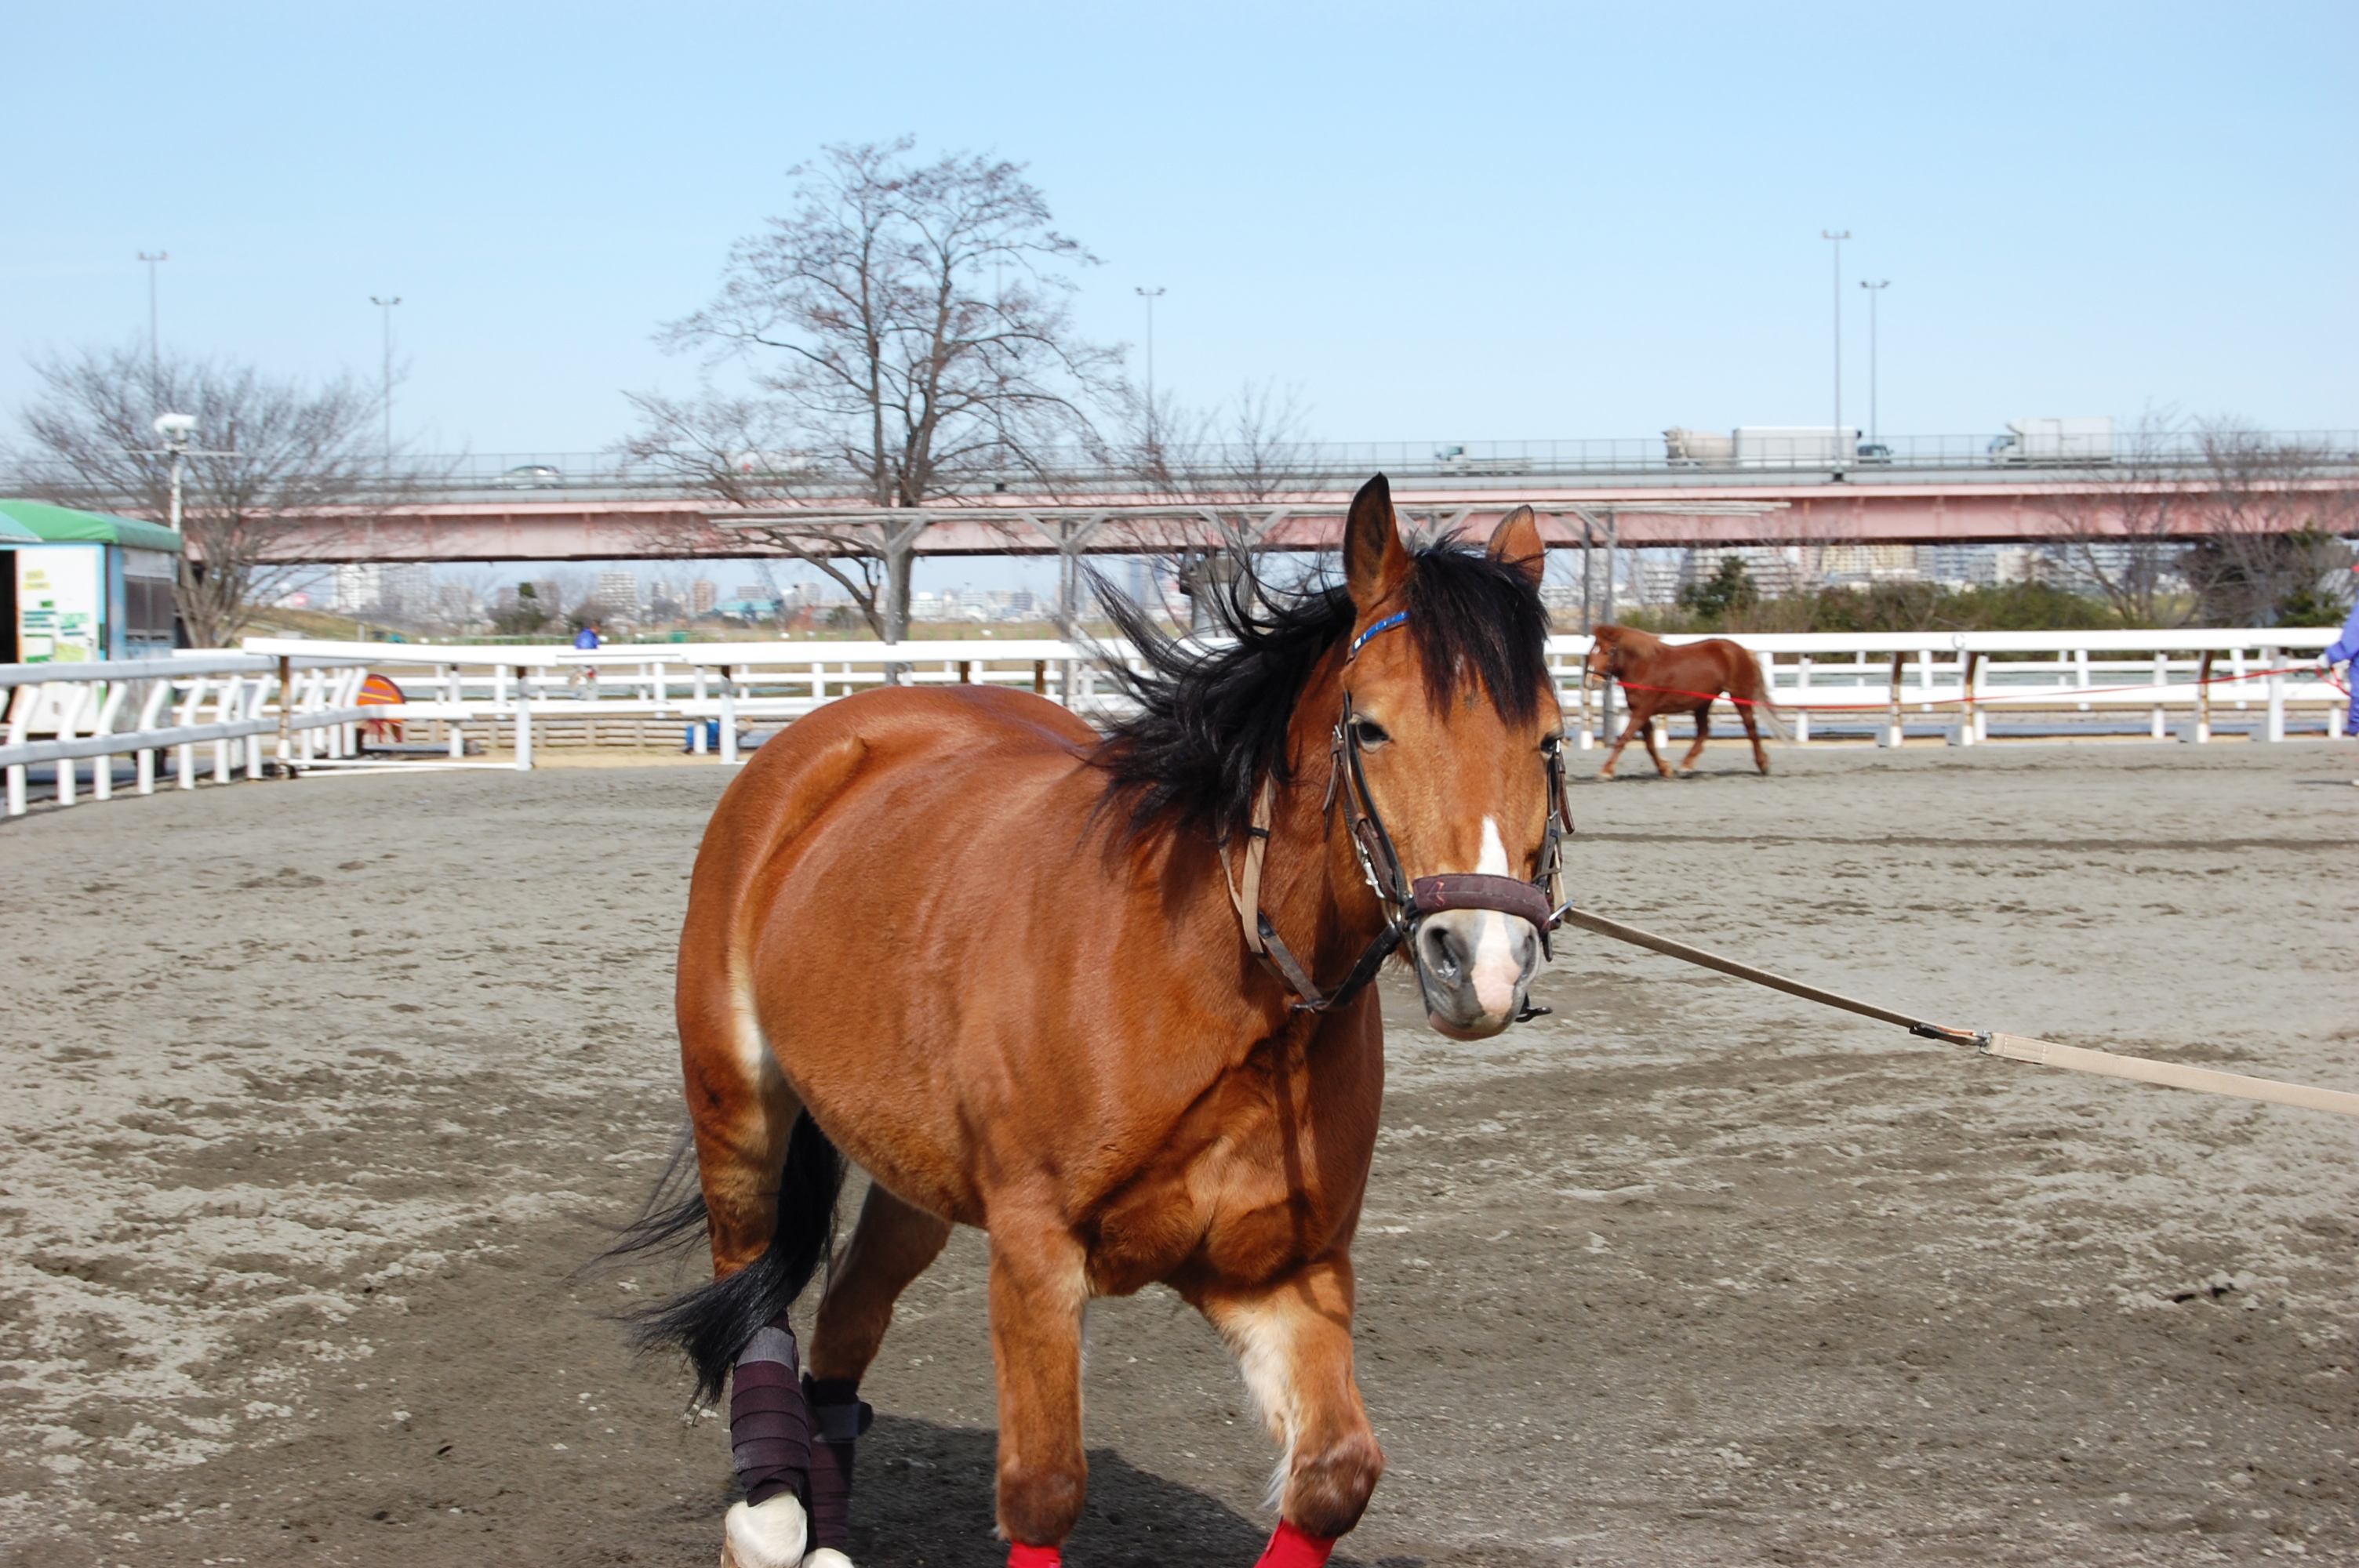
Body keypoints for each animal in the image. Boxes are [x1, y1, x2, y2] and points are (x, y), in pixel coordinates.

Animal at [626, 475, 1573, 1568]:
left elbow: (1334, 1477)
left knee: (848, 1320)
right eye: (1372, 728)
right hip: (736, 1108)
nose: (1482, 960)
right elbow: (1043, 1489)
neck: (1214, 989)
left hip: (913, 1173)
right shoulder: (1034, 1257)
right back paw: (773, 1511)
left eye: (1548, 737)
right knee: (753, 1289)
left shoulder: (1281, 1273)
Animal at [1584, 623, 1781, 779]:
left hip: (1740, 696)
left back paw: (1763, 764)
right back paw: (1686, 766)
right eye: (1591, 652)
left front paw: (1606, 771)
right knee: (1704, 731)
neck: (1644, 667)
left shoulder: (1642, 711)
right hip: (1703, 703)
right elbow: (1649, 744)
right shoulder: (1641, 712)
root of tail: (1742, 651)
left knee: (1750, 727)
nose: (1590, 682)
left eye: (1607, 652)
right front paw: (1665, 769)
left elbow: (1624, 739)